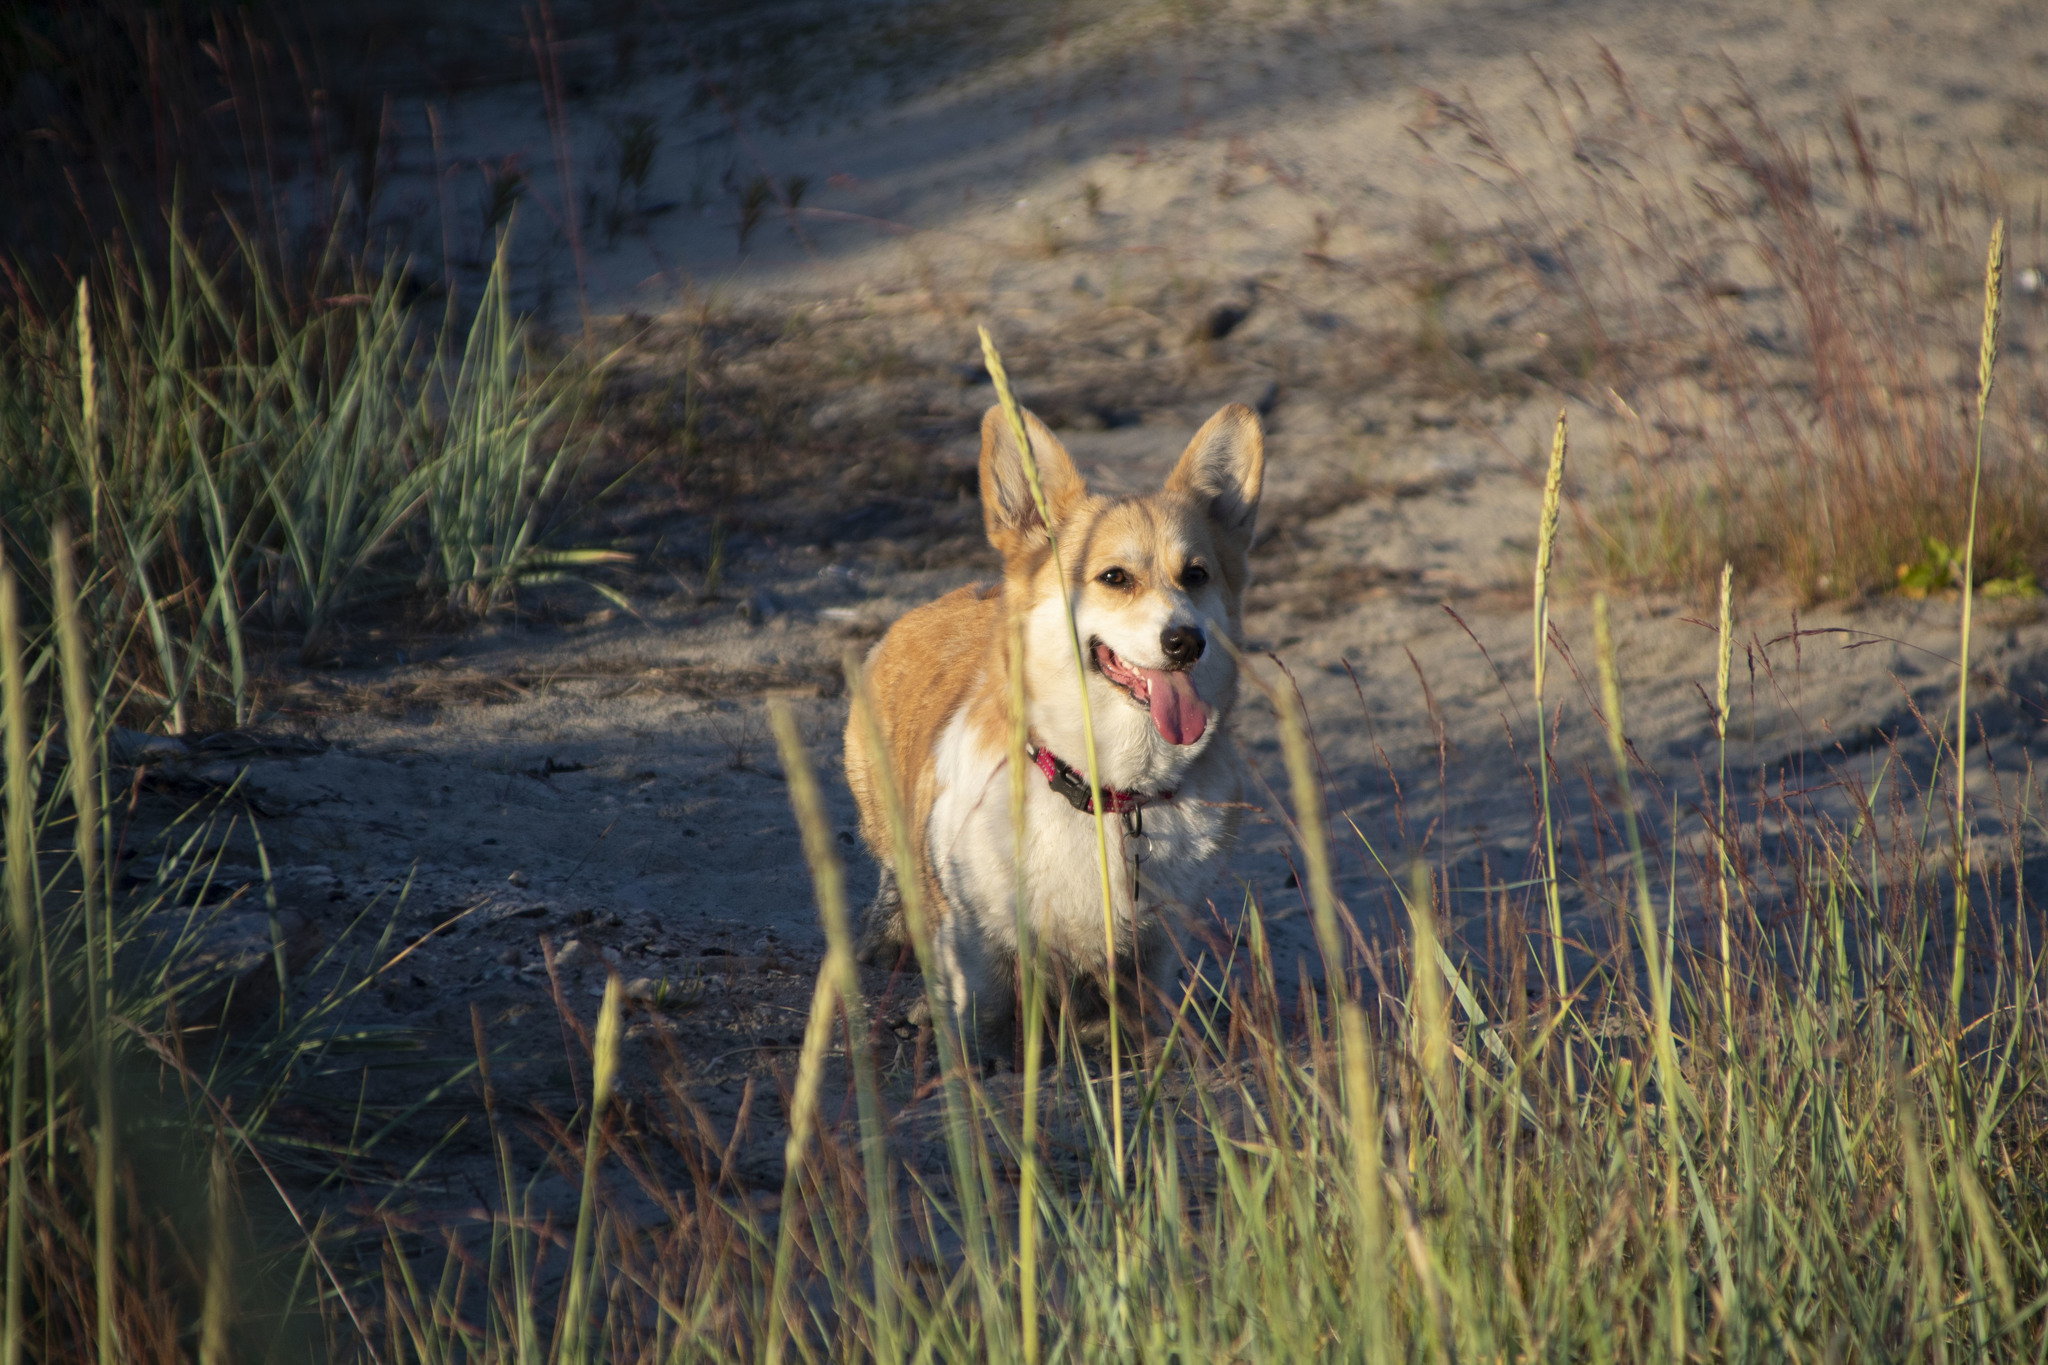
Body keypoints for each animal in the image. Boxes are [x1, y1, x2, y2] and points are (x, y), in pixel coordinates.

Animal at [843, 401, 1261, 1055]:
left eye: (1196, 575)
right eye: (1115, 578)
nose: (1186, 642)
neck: (1106, 790)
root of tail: (958, 593)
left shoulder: (1157, 945)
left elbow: (1143, 1013)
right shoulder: (976, 944)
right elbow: (980, 1021)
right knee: (895, 868)